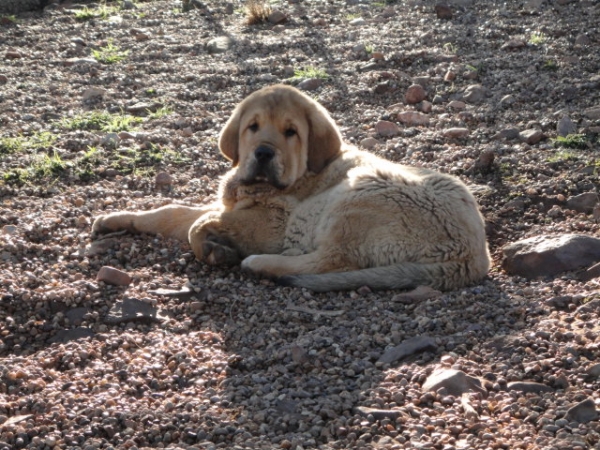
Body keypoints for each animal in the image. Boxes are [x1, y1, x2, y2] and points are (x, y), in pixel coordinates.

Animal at [91, 84, 490, 292]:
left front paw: (216, 249)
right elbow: (171, 212)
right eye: (252, 127)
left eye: (291, 132)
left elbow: (196, 225)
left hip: (358, 197)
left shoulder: (271, 224)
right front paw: (115, 218)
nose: (263, 153)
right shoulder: (230, 206)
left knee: (333, 261)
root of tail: (473, 257)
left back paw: (261, 264)